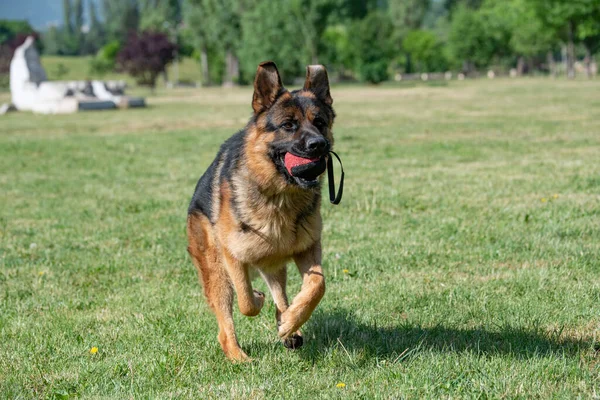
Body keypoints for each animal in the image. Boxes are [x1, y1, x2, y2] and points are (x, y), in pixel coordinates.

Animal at [186, 61, 336, 360]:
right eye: (288, 125)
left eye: (320, 123)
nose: (319, 145)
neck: (280, 198)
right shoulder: (233, 256)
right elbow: (246, 301)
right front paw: (257, 297)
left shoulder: (307, 247)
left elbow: (317, 286)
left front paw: (291, 320)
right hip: (217, 271)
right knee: (225, 324)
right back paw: (238, 356)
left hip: (274, 262)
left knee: (281, 294)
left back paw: (289, 326)